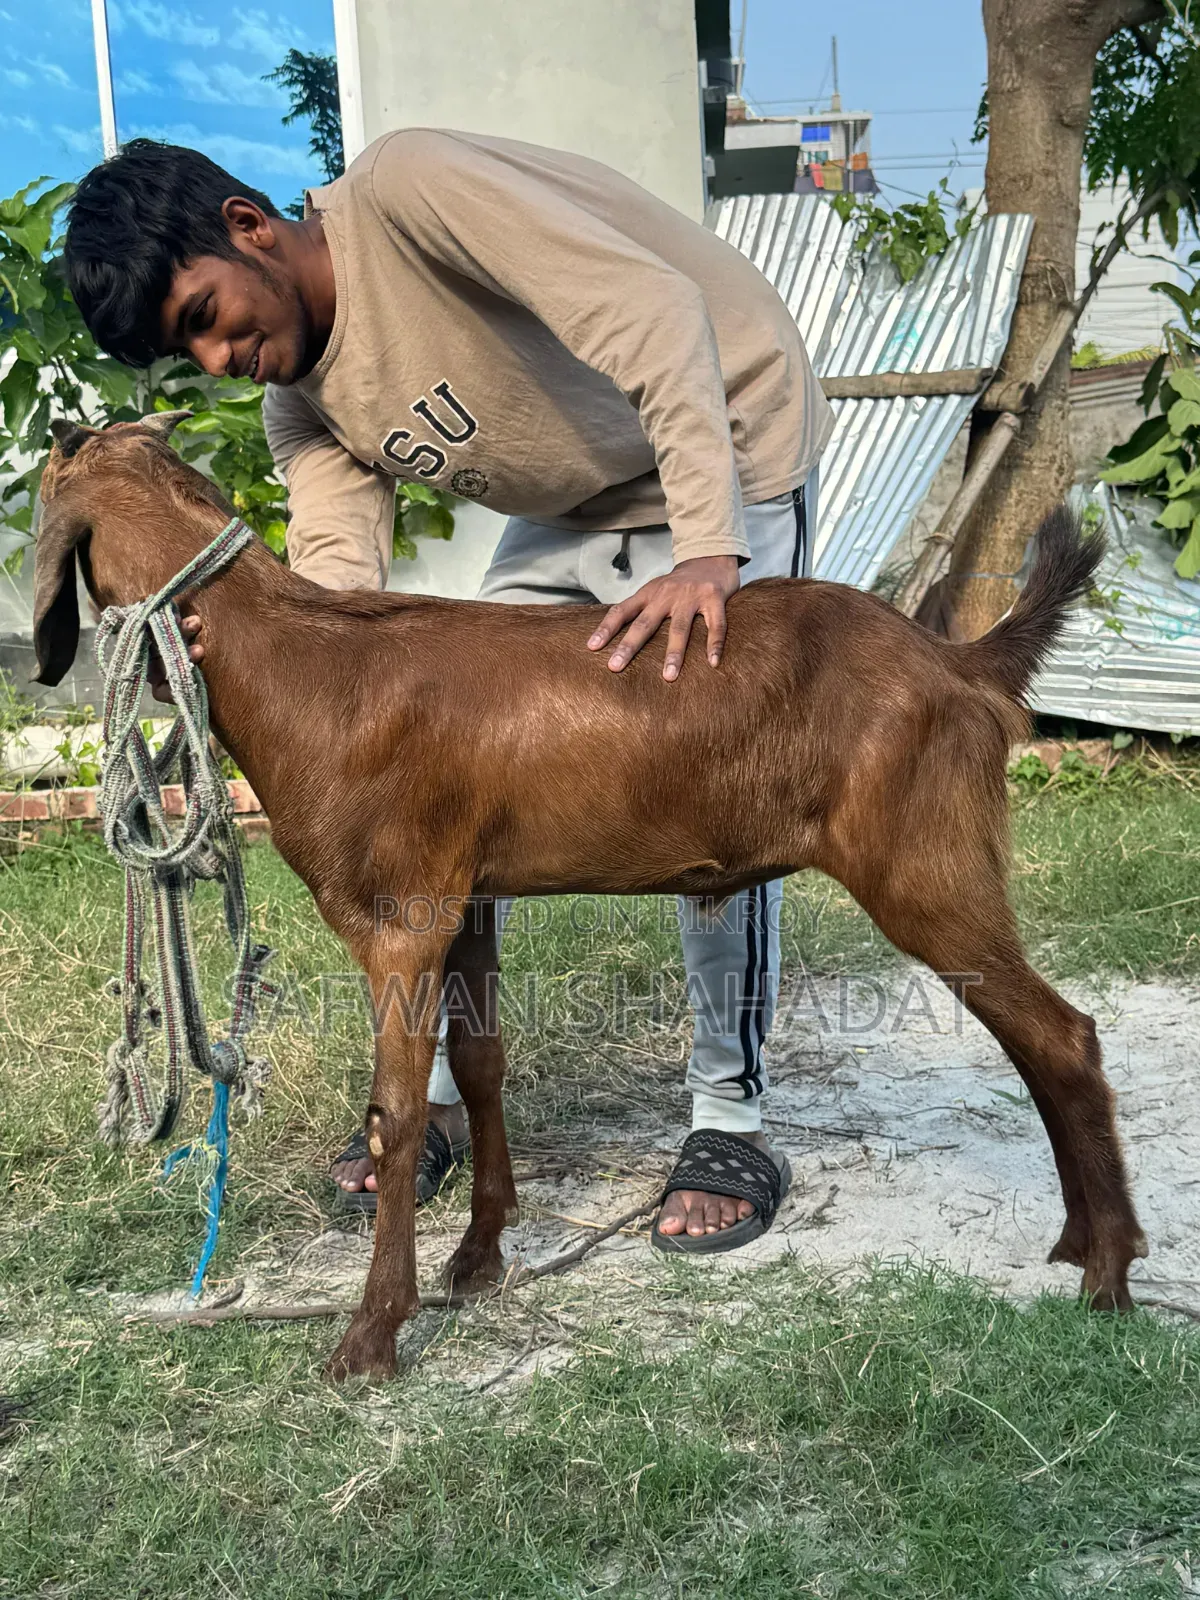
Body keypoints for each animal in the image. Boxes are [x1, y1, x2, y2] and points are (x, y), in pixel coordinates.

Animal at [32, 414, 1147, 1381]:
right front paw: (479, 1257)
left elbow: (398, 1112)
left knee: (1062, 1035)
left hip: (924, 865)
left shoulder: (399, 915)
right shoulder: (468, 899)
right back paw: (1078, 1242)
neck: (308, 665)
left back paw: (1108, 1275)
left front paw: (372, 1334)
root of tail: (956, 658)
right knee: (1036, 1040)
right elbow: (480, 1066)